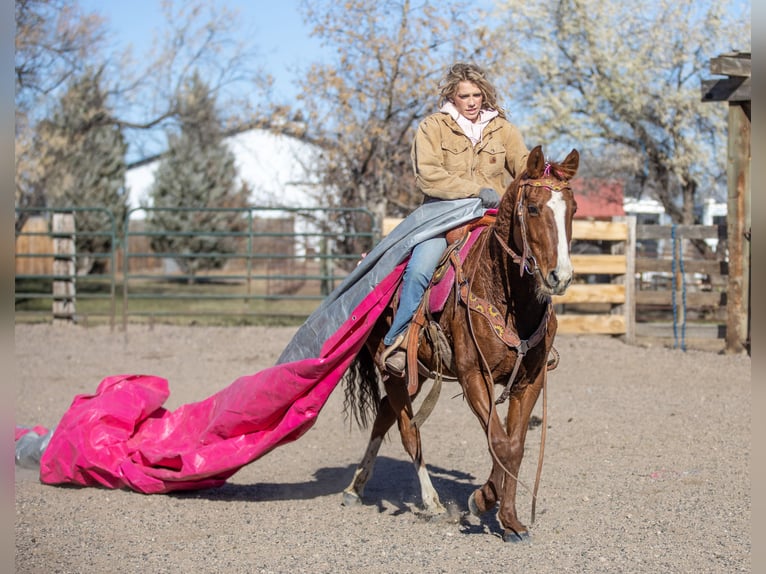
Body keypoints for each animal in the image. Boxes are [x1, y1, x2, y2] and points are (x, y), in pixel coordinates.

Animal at [344, 145, 584, 544]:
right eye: (534, 208)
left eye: (574, 208)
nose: (560, 276)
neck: (506, 296)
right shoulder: (475, 377)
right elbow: (499, 442)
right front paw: (484, 502)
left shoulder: (530, 381)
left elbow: (514, 445)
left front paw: (510, 520)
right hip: (392, 369)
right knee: (408, 429)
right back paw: (431, 502)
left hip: (419, 372)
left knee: (383, 416)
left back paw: (356, 486)